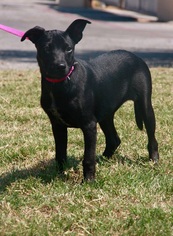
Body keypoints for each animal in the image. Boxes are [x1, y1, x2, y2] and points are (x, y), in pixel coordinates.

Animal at [21, 18, 159, 181]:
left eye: (69, 49)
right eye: (46, 48)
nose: (60, 66)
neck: (61, 83)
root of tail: (135, 56)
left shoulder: (89, 125)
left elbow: (88, 157)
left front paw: (89, 180)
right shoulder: (57, 124)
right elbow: (60, 153)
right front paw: (58, 175)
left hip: (145, 106)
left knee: (152, 138)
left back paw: (154, 161)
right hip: (105, 114)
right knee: (114, 139)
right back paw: (103, 159)